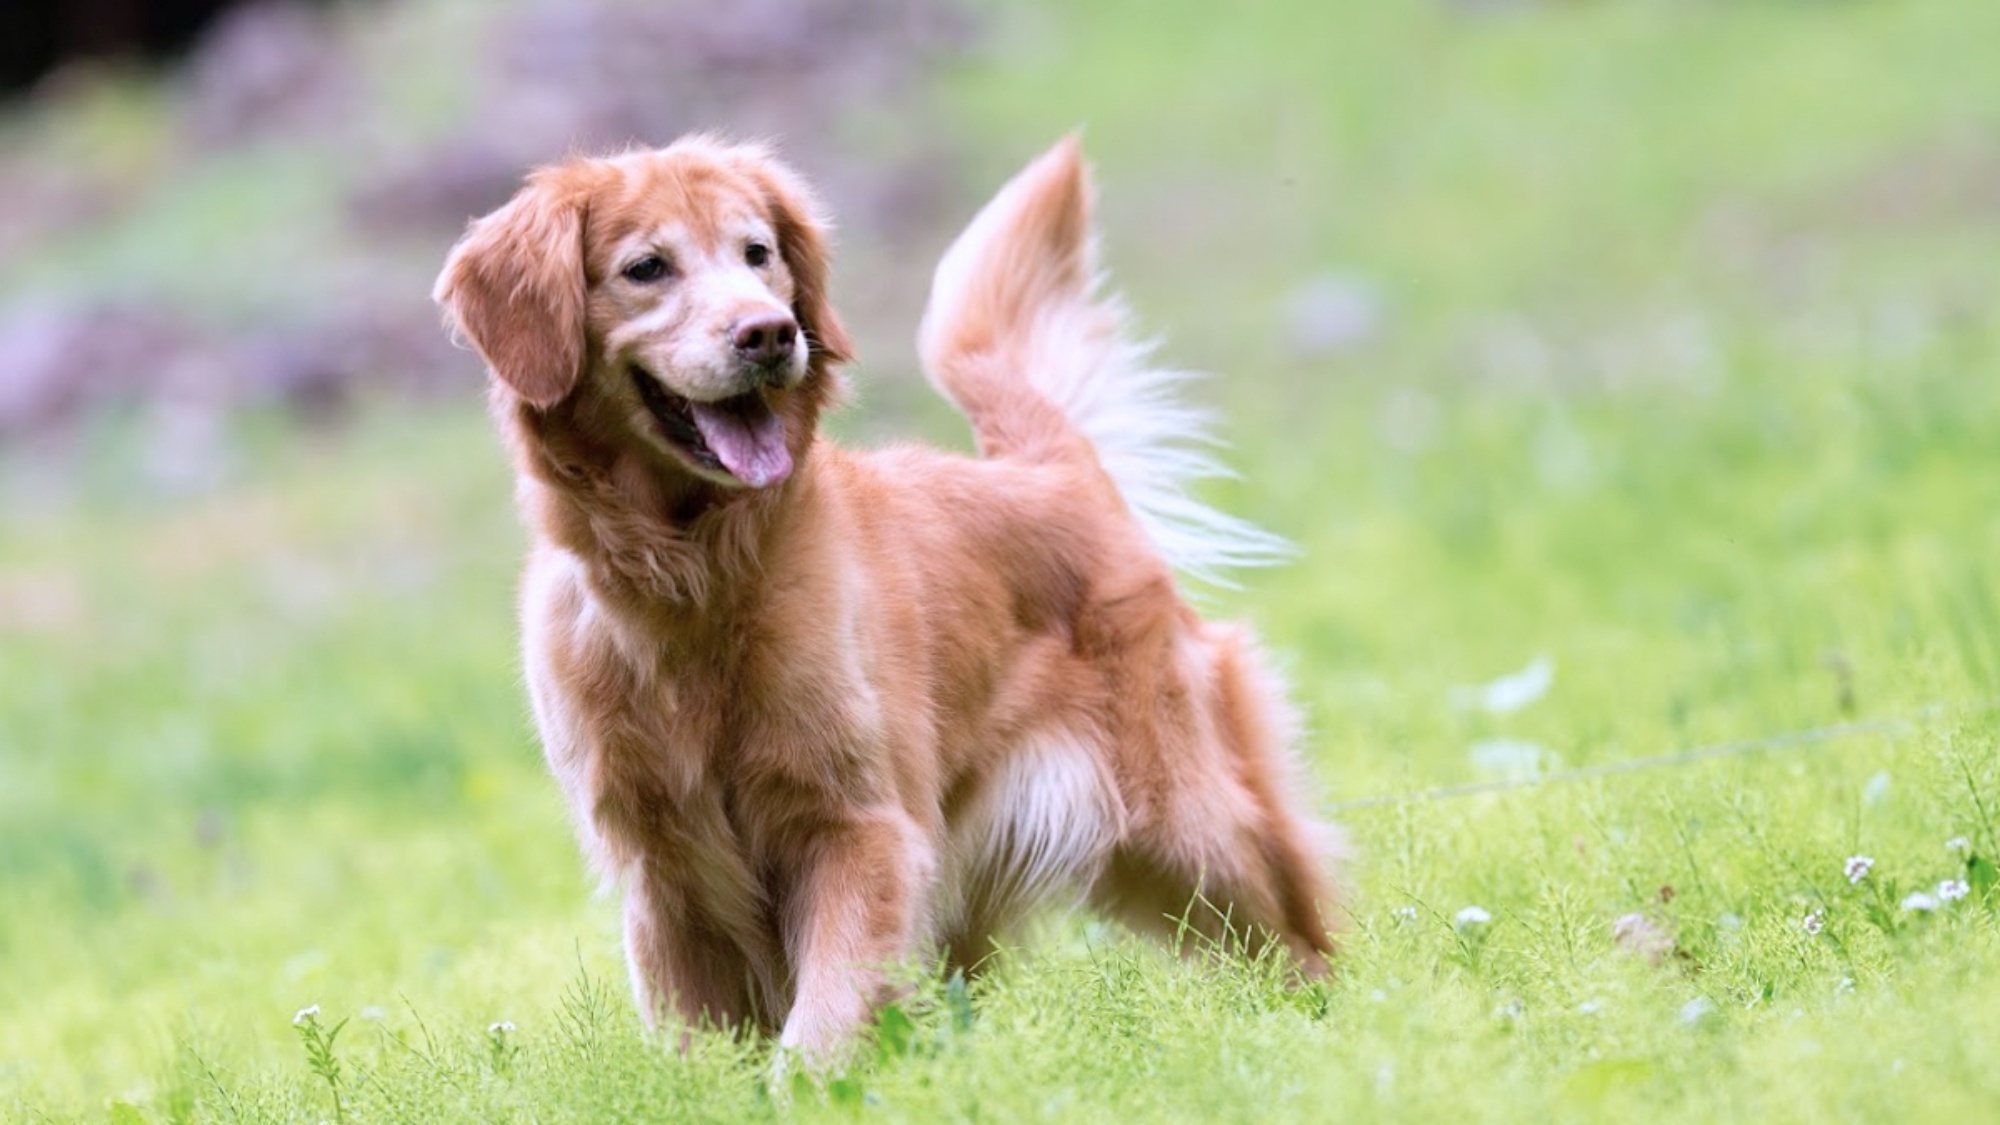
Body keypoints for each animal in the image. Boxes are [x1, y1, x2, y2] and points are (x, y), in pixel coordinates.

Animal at [438, 136, 1344, 1056]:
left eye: (757, 253)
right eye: (646, 267)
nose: (771, 333)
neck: (694, 577)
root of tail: (1054, 466)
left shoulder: (860, 828)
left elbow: (824, 1017)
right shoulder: (664, 872)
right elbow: (700, 1043)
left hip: (1193, 832)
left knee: (1299, 934)